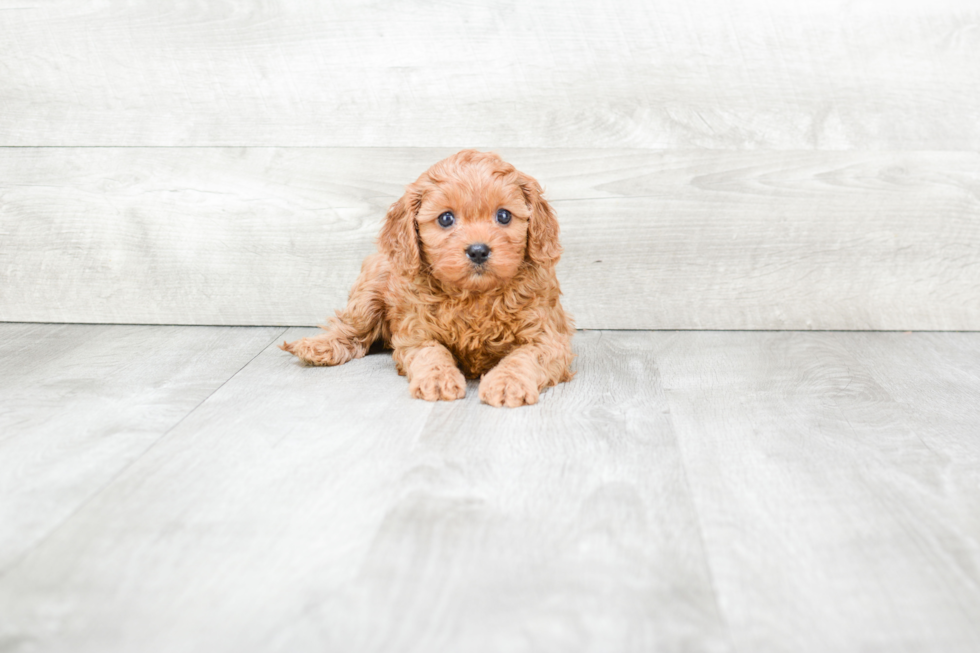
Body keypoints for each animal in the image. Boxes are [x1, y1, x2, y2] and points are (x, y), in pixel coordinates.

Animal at [282, 152, 576, 408]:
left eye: (503, 215)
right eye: (446, 218)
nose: (478, 250)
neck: (474, 296)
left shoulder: (547, 336)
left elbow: (524, 357)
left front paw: (507, 383)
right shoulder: (416, 332)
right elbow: (431, 352)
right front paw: (438, 379)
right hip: (371, 287)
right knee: (351, 328)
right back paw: (317, 346)